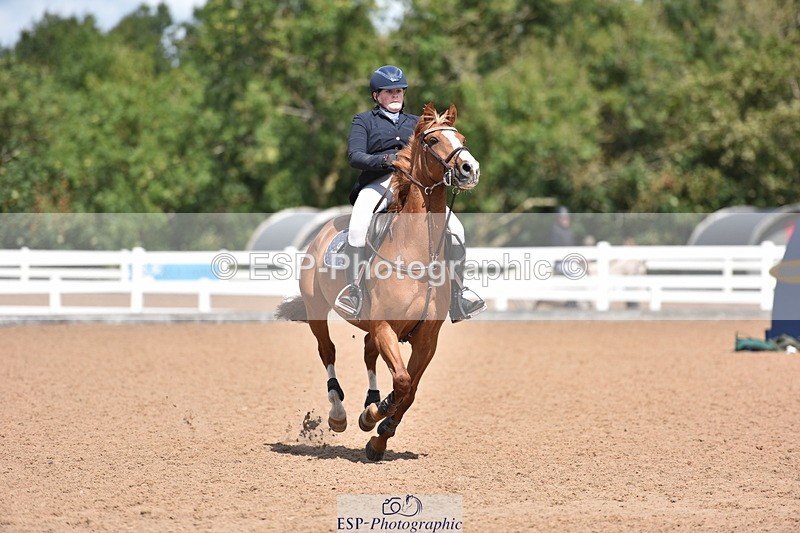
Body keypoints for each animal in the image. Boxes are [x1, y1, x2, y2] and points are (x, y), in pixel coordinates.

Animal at [275, 103, 480, 461]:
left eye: (462, 138)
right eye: (432, 140)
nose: (470, 169)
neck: (417, 253)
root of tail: (321, 231)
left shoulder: (427, 338)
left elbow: (410, 389)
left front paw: (379, 435)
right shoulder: (386, 326)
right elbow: (402, 382)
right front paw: (375, 416)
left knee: (368, 354)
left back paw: (369, 404)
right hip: (317, 311)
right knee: (327, 351)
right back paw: (340, 414)